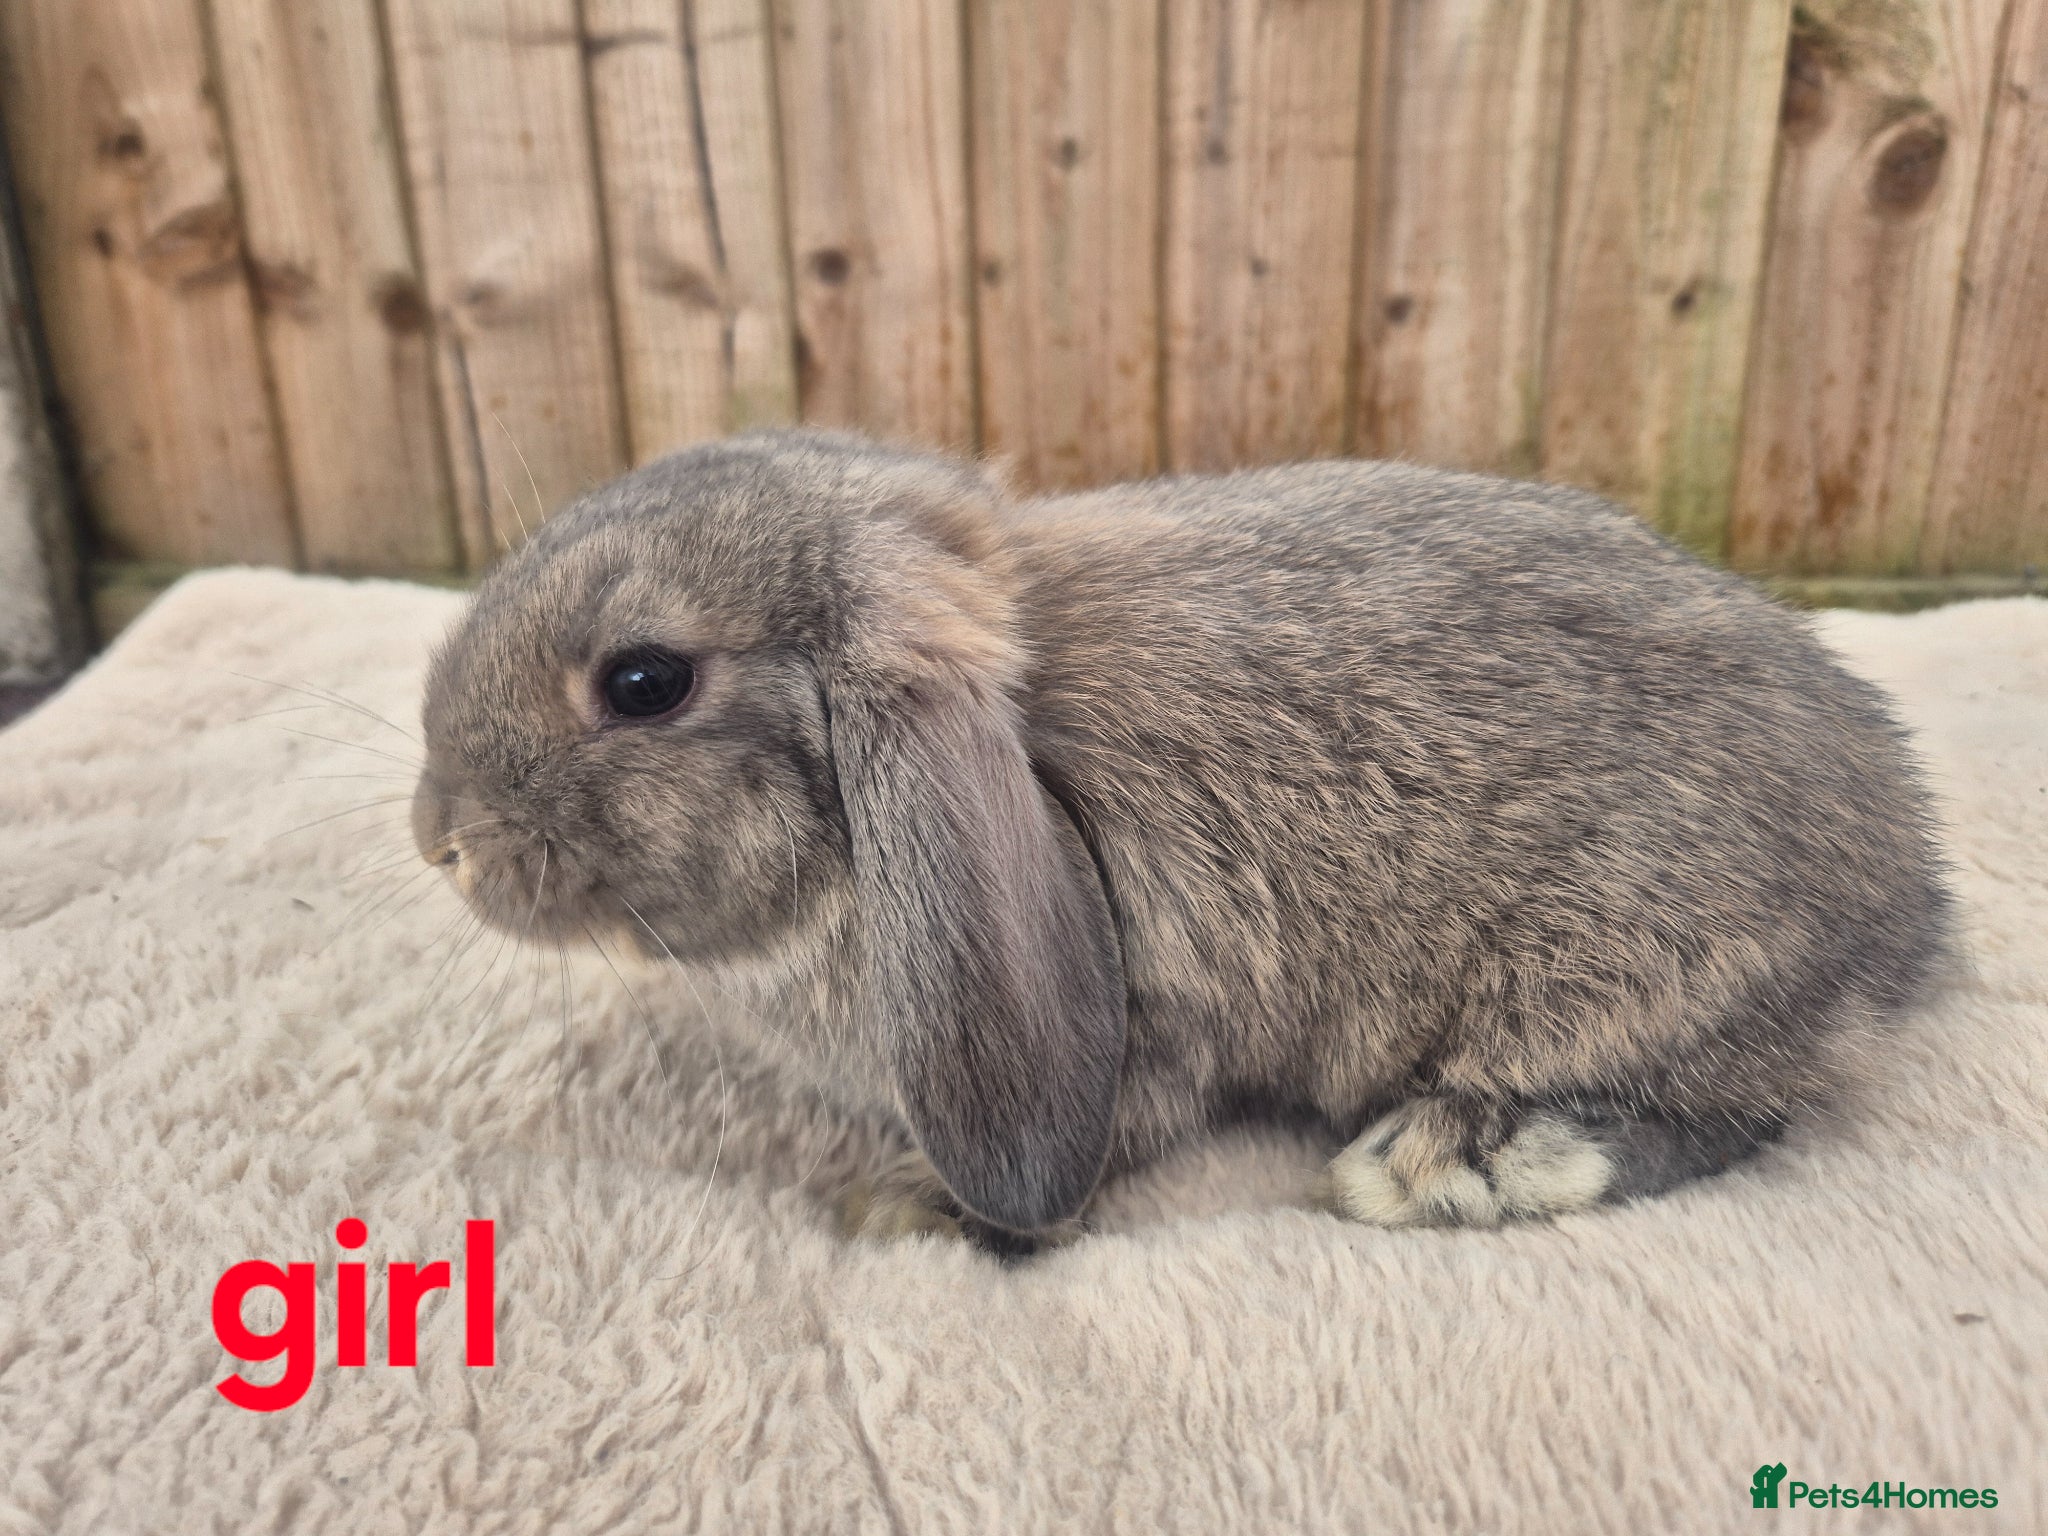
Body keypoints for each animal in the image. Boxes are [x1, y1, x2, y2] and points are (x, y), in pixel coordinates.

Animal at [411, 428, 1952, 1252]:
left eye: (643, 681)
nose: (442, 844)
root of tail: (1908, 913)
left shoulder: (1150, 1036)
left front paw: (897, 1206)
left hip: (1624, 964)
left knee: (1733, 1108)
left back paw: (1449, 1159)